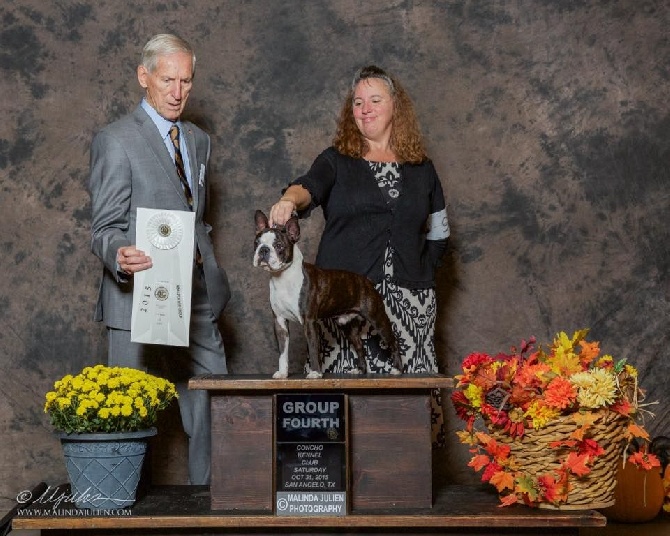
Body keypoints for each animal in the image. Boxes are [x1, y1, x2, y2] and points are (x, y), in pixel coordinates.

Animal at [251, 211, 400, 378]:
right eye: (256, 243)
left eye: (278, 246)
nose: (263, 250)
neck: (283, 277)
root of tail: (366, 281)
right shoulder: (280, 322)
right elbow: (283, 353)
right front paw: (283, 373)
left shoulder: (309, 322)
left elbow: (313, 349)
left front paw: (315, 373)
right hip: (348, 325)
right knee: (360, 346)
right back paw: (360, 370)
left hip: (377, 318)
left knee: (393, 341)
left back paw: (397, 369)